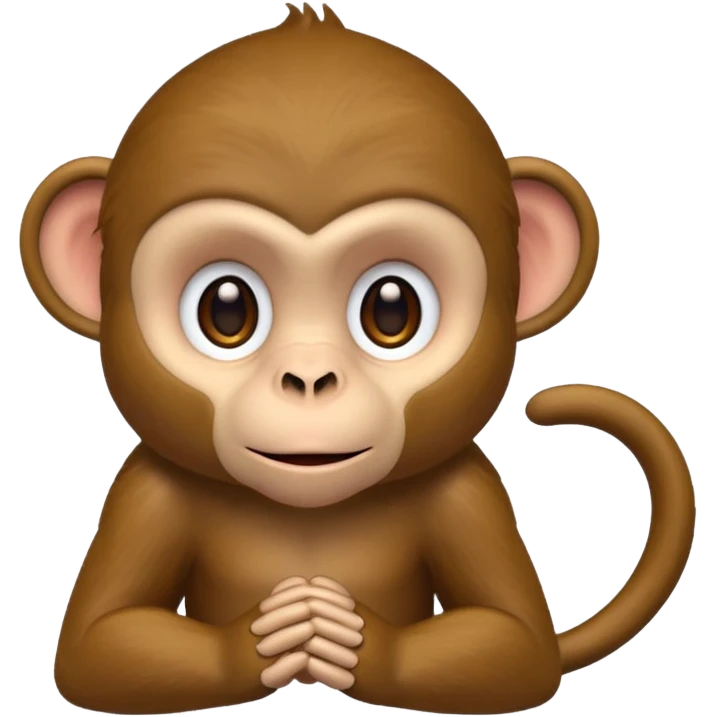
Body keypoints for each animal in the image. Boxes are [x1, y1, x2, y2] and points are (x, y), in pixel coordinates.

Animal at [20, 3, 696, 716]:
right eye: (226, 311)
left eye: (391, 311)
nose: (310, 378)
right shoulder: (145, 490)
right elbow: (96, 646)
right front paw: (266, 638)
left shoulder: (469, 491)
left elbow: (518, 647)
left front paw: (354, 639)